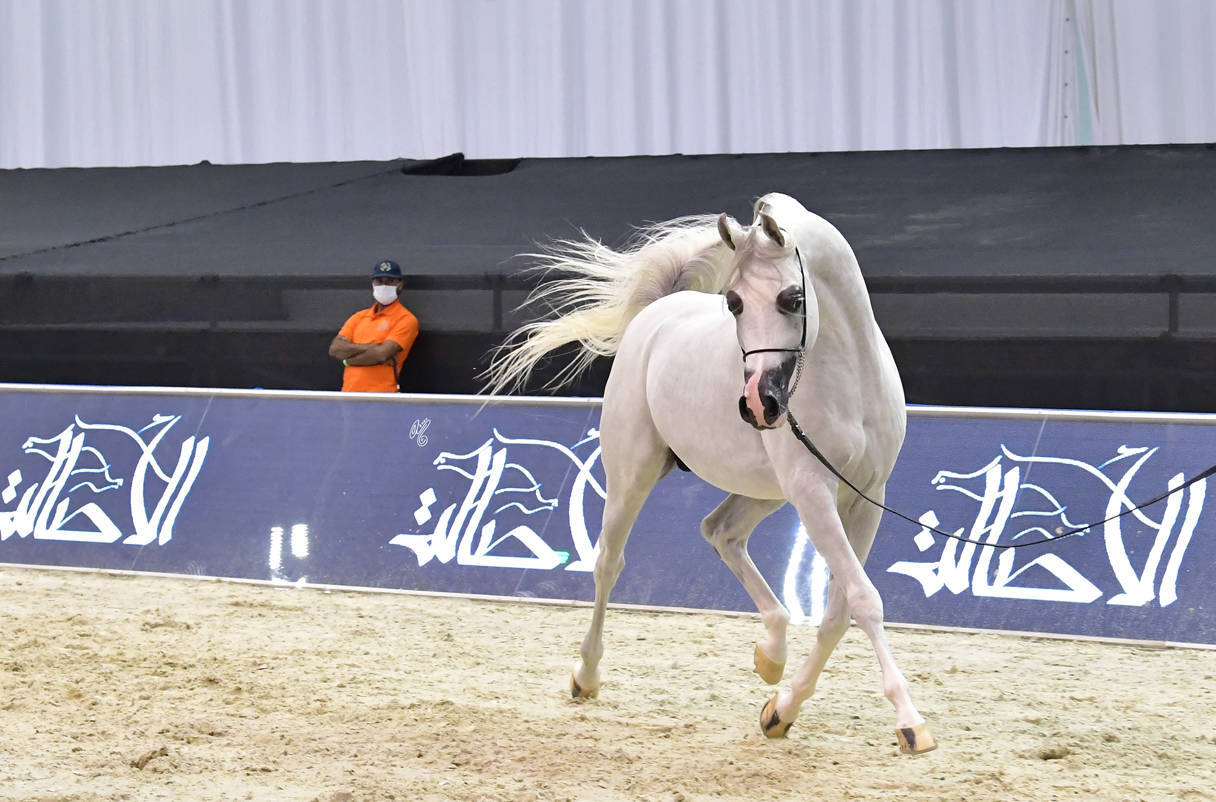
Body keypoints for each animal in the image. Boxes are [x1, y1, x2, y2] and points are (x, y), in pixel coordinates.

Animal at [483, 192, 935, 754]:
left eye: (792, 298)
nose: (759, 404)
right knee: (609, 562)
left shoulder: (865, 498)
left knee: (720, 532)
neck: (846, 377)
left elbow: (839, 613)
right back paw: (586, 676)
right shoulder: (815, 493)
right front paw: (910, 722)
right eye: (734, 302)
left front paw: (780, 711)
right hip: (633, 475)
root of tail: (656, 314)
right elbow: (865, 600)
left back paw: (771, 656)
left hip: (768, 492)